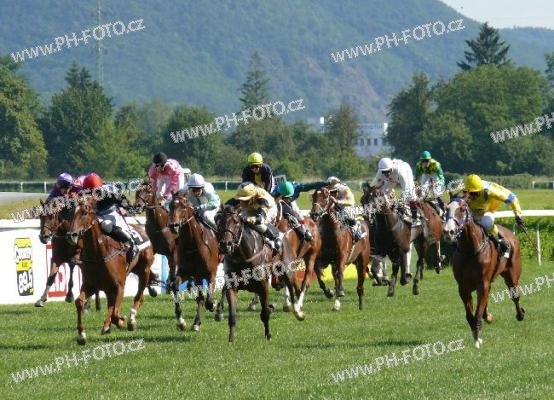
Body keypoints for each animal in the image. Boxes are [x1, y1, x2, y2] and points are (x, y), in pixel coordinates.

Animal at [65, 197, 155, 344]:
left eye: (85, 213)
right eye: (71, 213)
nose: (71, 235)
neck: (99, 254)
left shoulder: (119, 286)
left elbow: (114, 313)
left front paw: (121, 321)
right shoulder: (91, 284)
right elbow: (79, 302)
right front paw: (81, 335)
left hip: (144, 270)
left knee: (138, 296)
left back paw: (130, 320)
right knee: (114, 304)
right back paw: (107, 325)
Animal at [168, 192, 220, 331]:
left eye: (183, 206)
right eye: (170, 205)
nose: (173, 225)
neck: (193, 244)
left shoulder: (211, 273)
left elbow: (208, 300)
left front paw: (212, 304)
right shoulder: (189, 273)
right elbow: (175, 287)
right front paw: (182, 321)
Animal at [216, 204, 298, 342]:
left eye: (236, 222)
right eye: (219, 221)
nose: (225, 245)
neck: (243, 257)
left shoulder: (263, 285)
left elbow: (265, 313)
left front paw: (268, 335)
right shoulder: (232, 286)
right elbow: (232, 314)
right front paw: (231, 339)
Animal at [443, 198, 525, 348]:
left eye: (462, 209)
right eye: (446, 209)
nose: (448, 231)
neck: (470, 250)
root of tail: (511, 234)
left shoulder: (483, 283)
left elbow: (477, 313)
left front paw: (477, 340)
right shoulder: (463, 287)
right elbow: (470, 315)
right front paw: (477, 336)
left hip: (511, 275)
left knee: (515, 295)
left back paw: (520, 314)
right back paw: (488, 317)